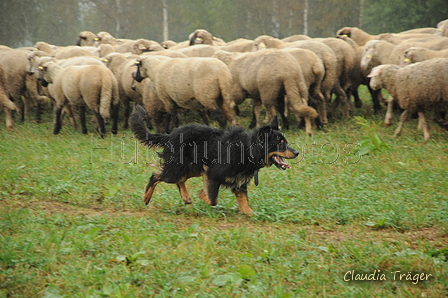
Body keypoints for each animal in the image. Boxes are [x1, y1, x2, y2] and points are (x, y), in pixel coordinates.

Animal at [130, 105, 298, 214]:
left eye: (286, 141)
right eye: (280, 143)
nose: (296, 152)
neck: (247, 149)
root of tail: (170, 135)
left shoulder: (238, 183)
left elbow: (245, 206)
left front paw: (253, 214)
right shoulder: (213, 173)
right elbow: (212, 199)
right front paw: (202, 195)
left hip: (192, 168)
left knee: (180, 180)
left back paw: (186, 197)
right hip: (178, 168)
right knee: (156, 176)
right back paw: (146, 197)